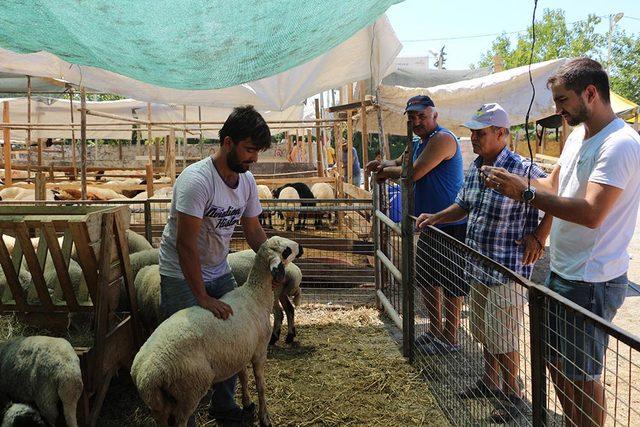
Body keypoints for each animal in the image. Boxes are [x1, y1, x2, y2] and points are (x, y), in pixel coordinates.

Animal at [131, 236, 304, 426]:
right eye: (286, 250)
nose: (302, 248)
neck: (255, 295)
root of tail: (147, 375)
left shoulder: (241, 351)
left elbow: (243, 377)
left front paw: (247, 403)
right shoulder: (258, 351)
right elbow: (260, 385)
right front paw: (264, 417)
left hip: (159, 404)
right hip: (190, 389)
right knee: (181, 419)